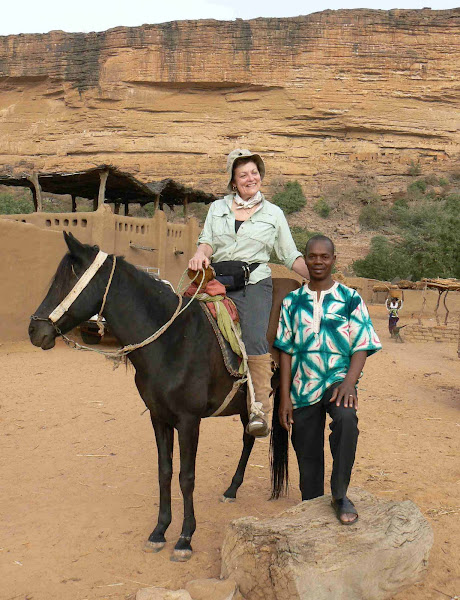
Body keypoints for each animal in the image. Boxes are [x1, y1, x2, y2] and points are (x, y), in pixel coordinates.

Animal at [28, 232, 296, 560]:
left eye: (68, 279)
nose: (34, 330)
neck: (172, 340)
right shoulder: (160, 418)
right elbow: (165, 472)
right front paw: (159, 531)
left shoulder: (189, 421)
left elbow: (186, 476)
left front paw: (185, 538)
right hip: (248, 404)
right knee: (249, 437)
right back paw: (232, 489)